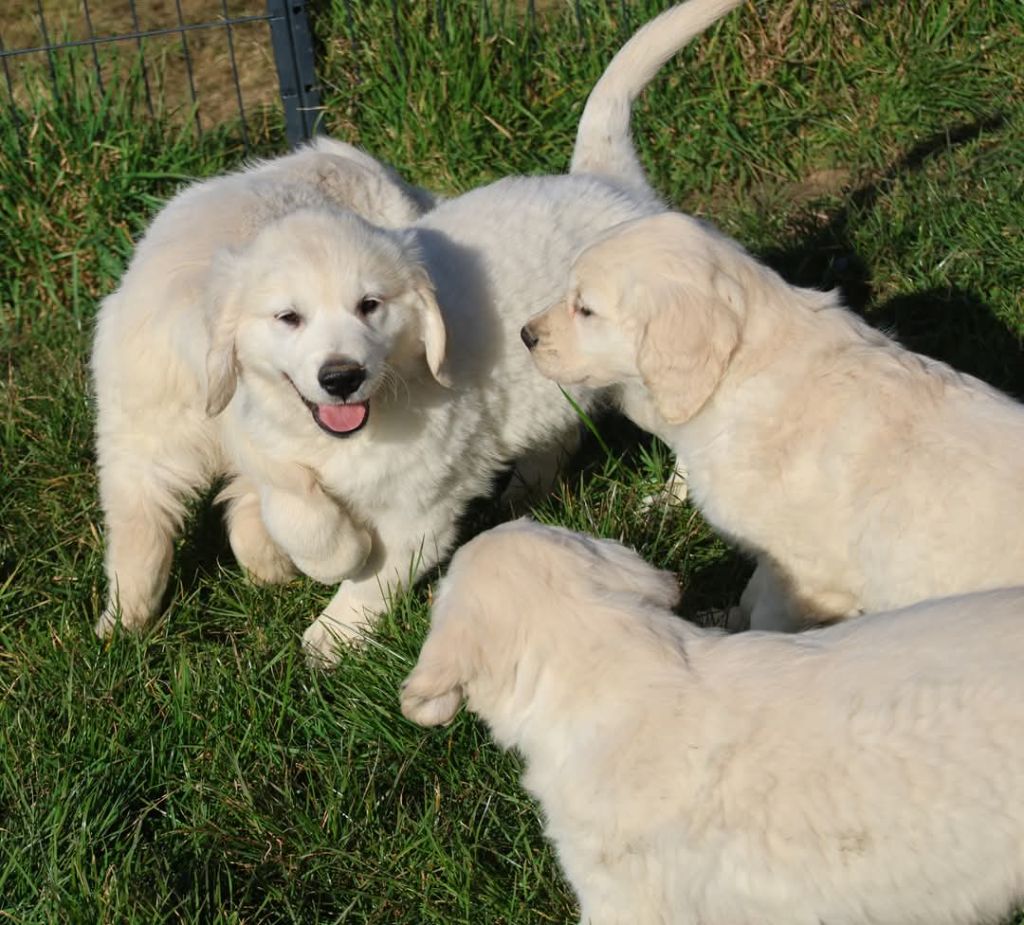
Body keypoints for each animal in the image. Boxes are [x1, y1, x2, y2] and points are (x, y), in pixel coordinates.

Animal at [524, 215, 1024, 635]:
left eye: (585, 309)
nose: (526, 335)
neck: (741, 373)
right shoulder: (772, 556)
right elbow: (753, 589)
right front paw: (722, 619)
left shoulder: (806, 574)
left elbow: (768, 616)